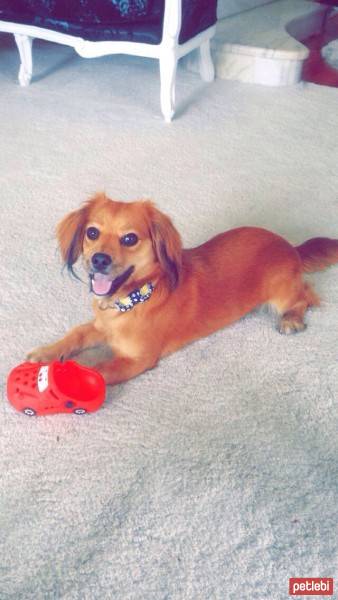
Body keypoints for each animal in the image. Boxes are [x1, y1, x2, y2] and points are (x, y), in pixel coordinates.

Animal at [27, 195, 338, 386]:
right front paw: (47, 353)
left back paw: (291, 319)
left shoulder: (136, 361)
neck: (133, 300)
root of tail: (290, 246)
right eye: (92, 233)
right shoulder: (99, 327)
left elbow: (95, 369)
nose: (99, 260)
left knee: (307, 295)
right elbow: (76, 334)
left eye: (130, 239)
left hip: (282, 293)